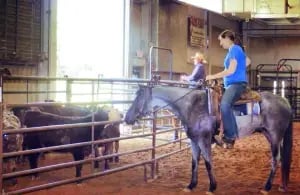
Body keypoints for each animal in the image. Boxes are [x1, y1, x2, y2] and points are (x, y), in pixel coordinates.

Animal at [124, 84, 292, 194]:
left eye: (138, 97)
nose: (127, 118)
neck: (192, 106)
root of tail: (285, 101)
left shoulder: (204, 140)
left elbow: (208, 163)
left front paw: (212, 187)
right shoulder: (194, 140)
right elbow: (194, 163)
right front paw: (191, 185)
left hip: (275, 135)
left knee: (275, 159)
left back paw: (266, 187)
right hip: (271, 135)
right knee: (281, 159)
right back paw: (281, 185)